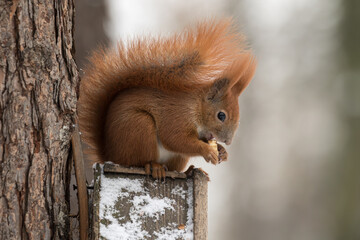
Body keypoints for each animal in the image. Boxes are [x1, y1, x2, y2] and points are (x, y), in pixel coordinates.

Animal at [77, 19, 258, 178]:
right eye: (221, 115)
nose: (228, 141)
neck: (196, 106)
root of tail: (109, 155)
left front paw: (222, 151)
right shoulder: (176, 115)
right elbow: (175, 139)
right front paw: (208, 151)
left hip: (176, 157)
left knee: (173, 168)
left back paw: (190, 170)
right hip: (138, 127)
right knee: (138, 162)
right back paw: (154, 167)